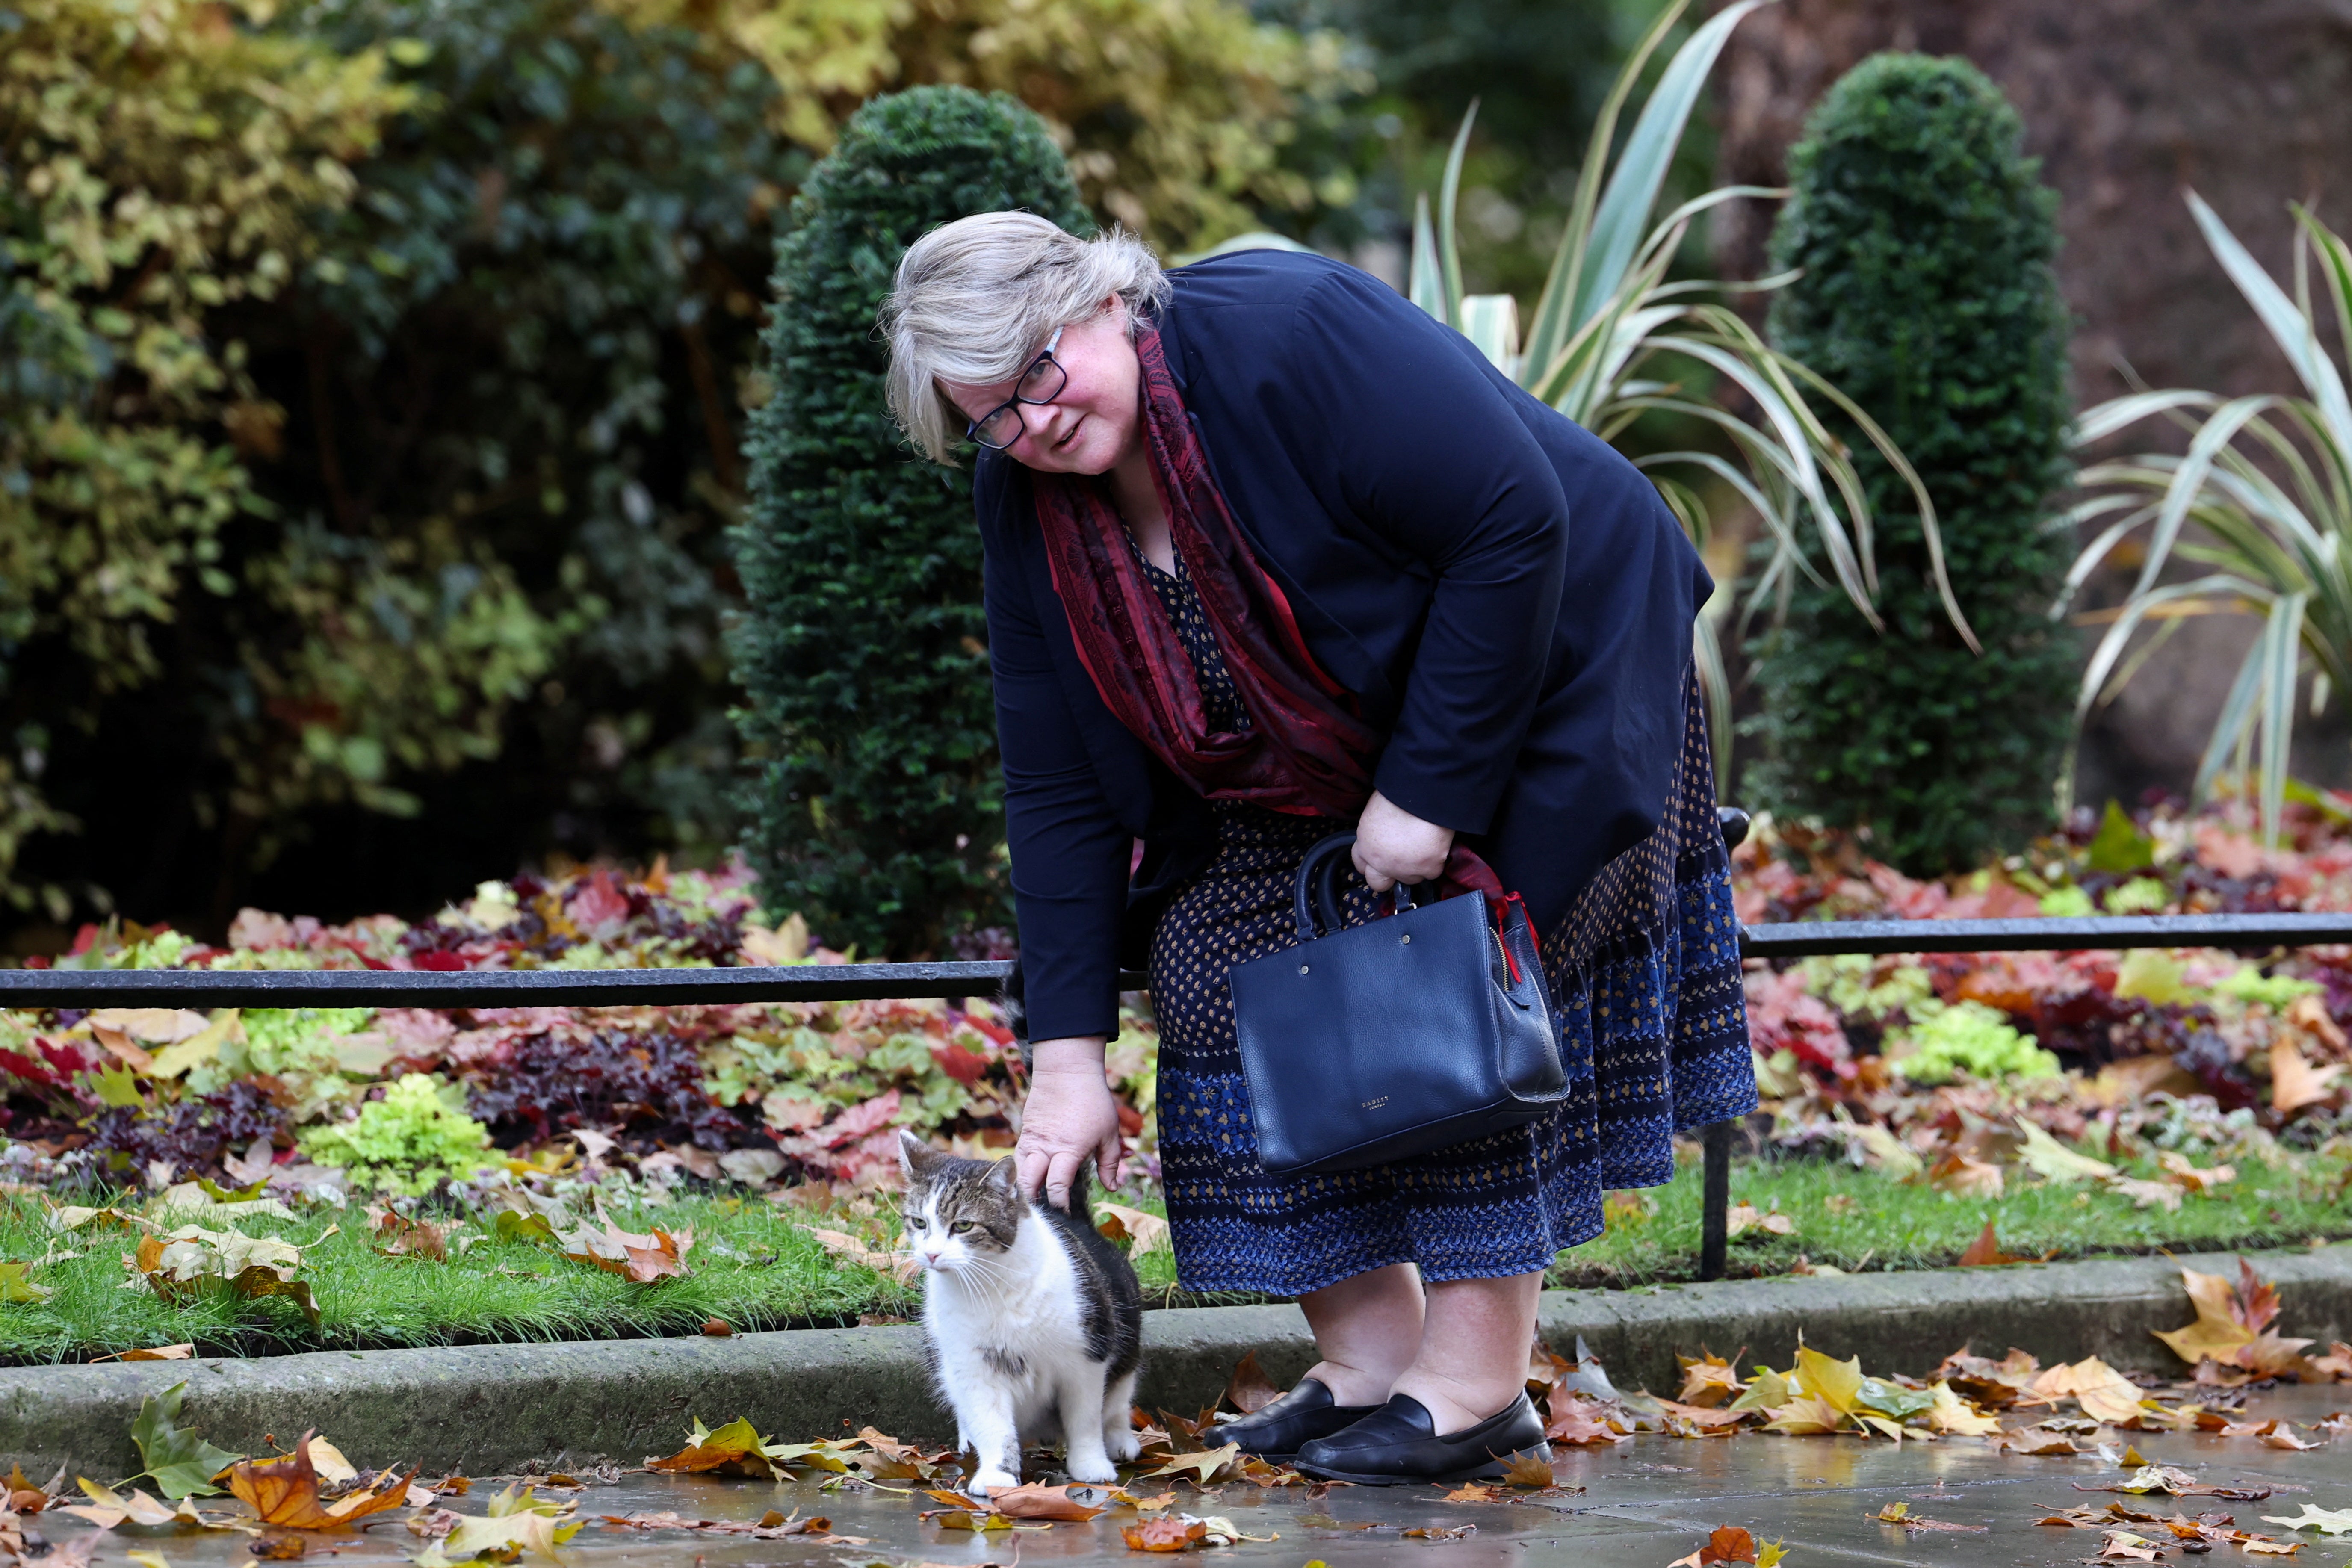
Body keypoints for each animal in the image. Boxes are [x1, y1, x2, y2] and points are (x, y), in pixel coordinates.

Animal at [894, 1133, 1143, 1495]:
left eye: (963, 1225)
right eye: (919, 1222)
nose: (931, 1254)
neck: (991, 1286)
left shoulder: (1085, 1359)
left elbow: (1084, 1419)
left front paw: (1091, 1464)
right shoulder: (974, 1367)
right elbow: (992, 1424)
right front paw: (998, 1475)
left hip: (1125, 1343)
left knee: (1117, 1400)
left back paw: (1121, 1439)